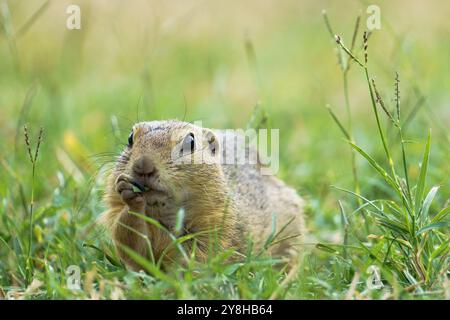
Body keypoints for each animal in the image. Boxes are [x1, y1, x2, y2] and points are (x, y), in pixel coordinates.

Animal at [102, 120, 306, 270]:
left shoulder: (218, 222)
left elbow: (200, 256)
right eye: (130, 138)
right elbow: (131, 242)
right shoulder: (116, 212)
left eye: (190, 142)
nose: (143, 165)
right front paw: (129, 193)